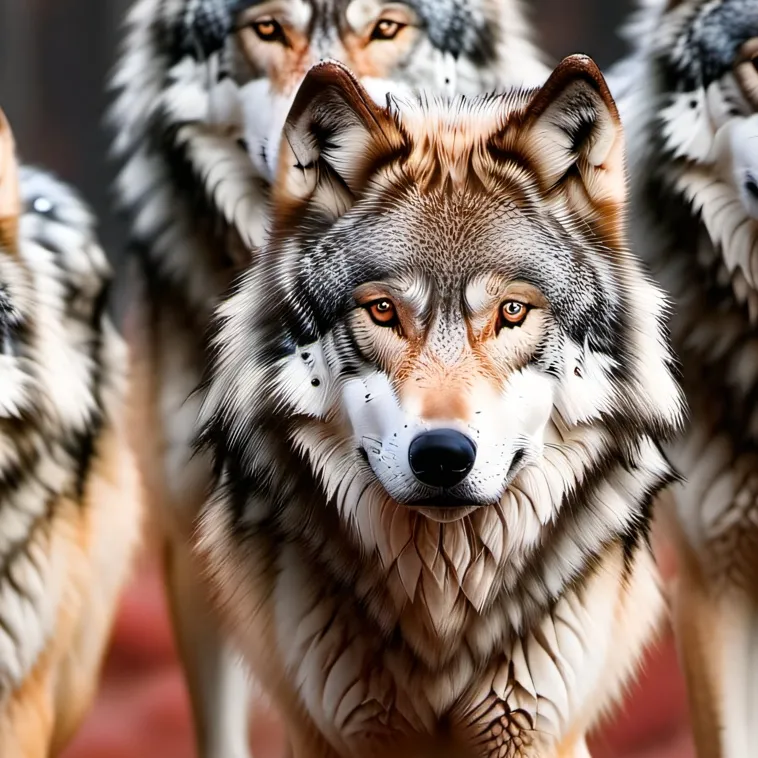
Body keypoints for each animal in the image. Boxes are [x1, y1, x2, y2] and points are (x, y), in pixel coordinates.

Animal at [195, 55, 686, 758]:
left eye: (512, 311)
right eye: (383, 311)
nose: (443, 457)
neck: (442, 609)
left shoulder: (532, 724)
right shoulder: (334, 727)